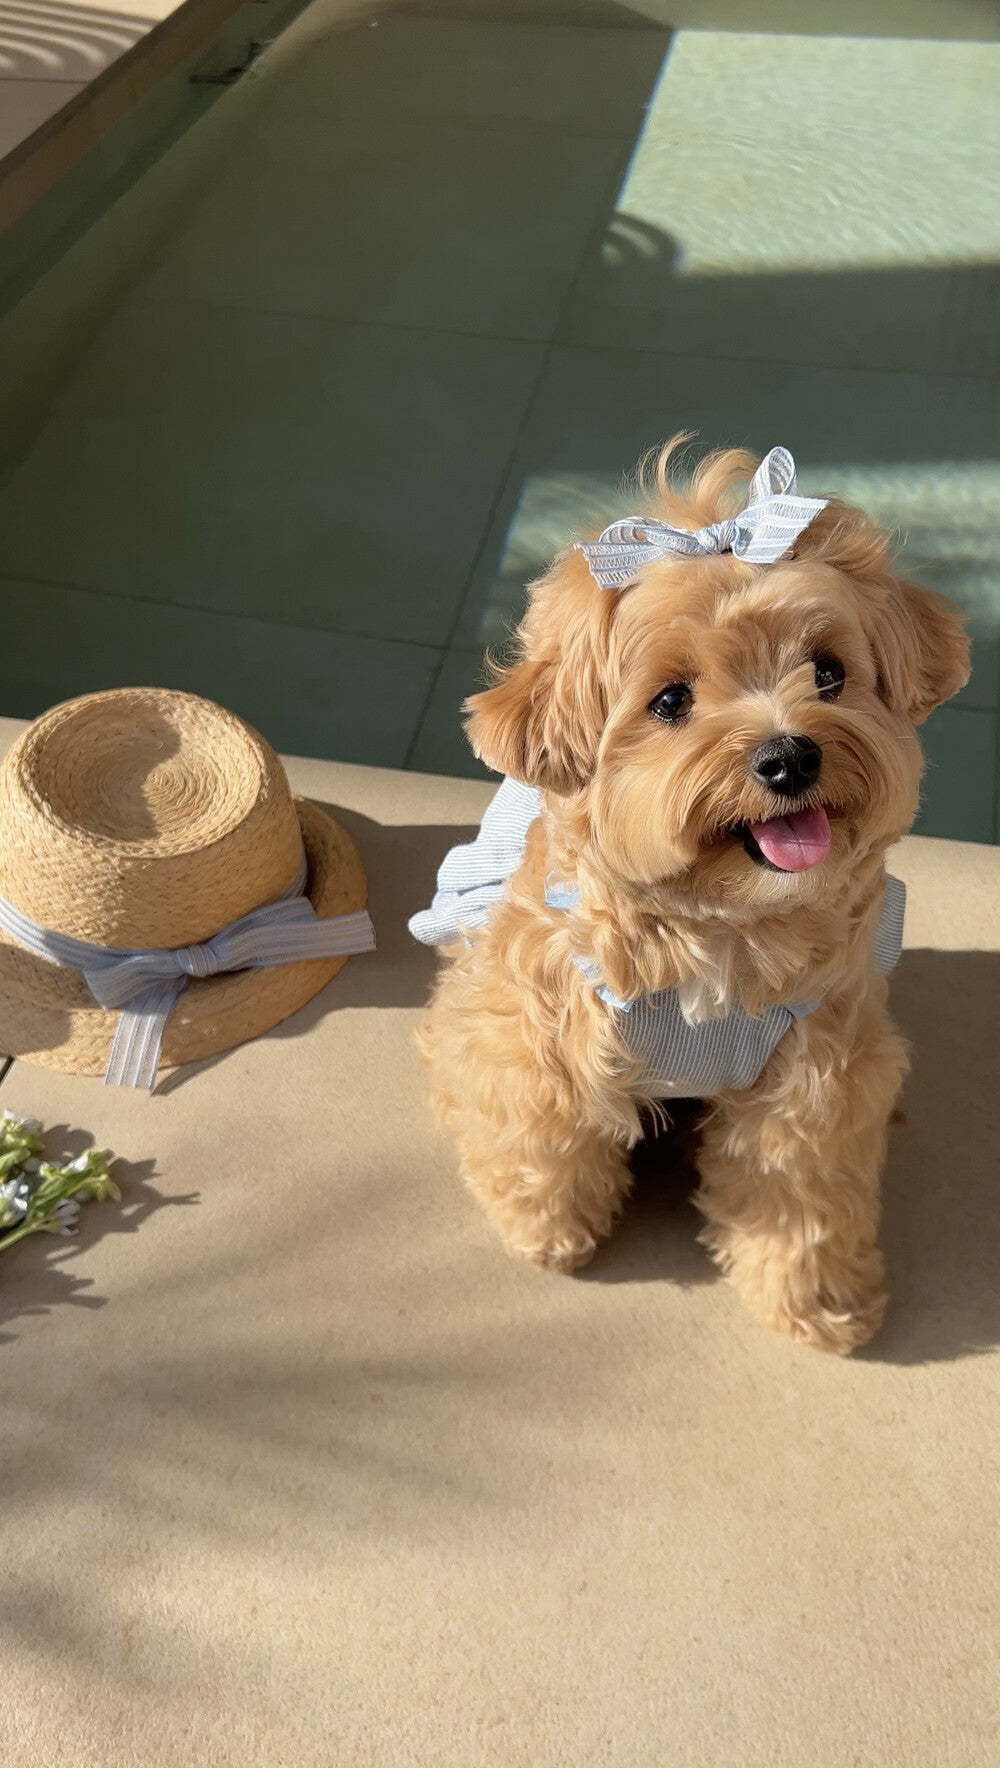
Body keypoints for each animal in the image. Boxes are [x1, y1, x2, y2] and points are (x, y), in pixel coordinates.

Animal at [413, 445, 975, 1350]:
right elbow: (544, 1139)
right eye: (671, 700)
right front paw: (545, 1234)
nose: (789, 757)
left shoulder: (812, 1079)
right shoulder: (537, 1039)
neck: (721, 930)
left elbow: (802, 1197)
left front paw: (818, 1303)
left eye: (828, 673)